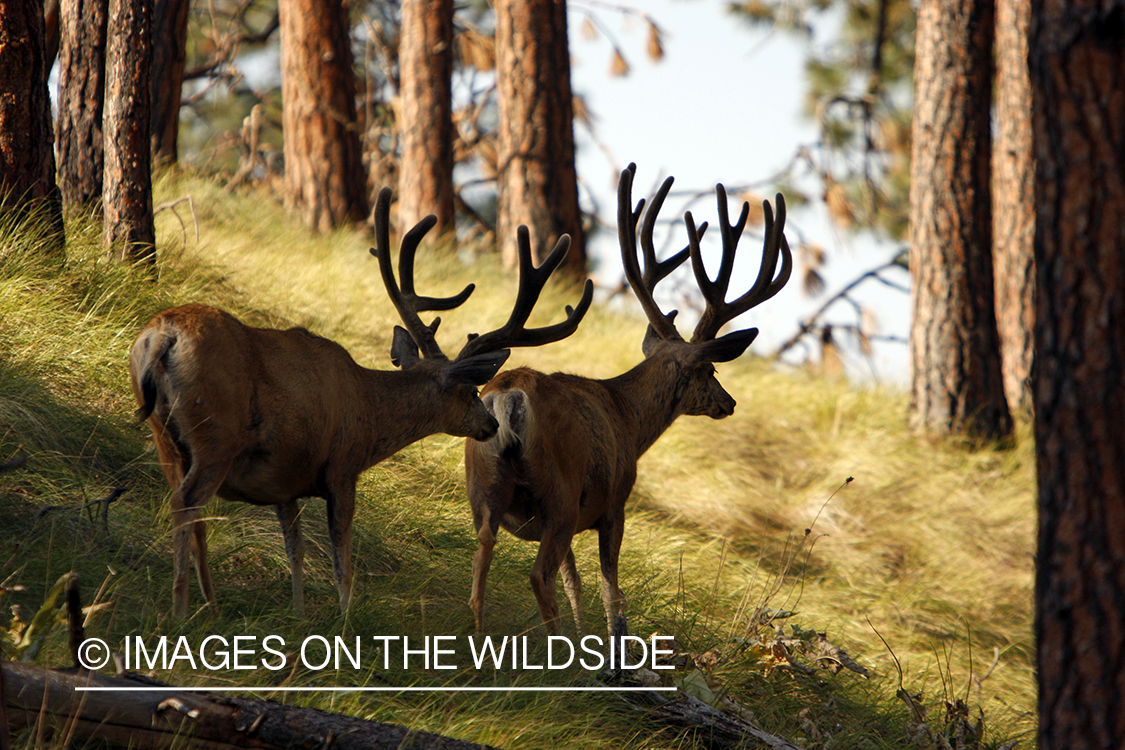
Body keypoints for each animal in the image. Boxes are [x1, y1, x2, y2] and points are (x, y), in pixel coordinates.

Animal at [130, 187, 593, 618]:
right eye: (470, 390)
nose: (490, 424)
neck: (368, 410)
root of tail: (161, 335)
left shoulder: (285, 481)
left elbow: (295, 548)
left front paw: (299, 614)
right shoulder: (342, 465)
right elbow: (342, 559)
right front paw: (346, 617)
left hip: (164, 434)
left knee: (187, 507)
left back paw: (208, 606)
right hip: (216, 431)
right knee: (186, 502)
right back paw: (181, 609)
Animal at [464, 163, 792, 643]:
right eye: (711, 370)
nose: (729, 403)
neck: (628, 419)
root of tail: (509, 395)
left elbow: (576, 583)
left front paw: (585, 636)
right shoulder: (615, 502)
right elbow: (610, 592)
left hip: (483, 483)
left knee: (483, 554)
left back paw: (480, 636)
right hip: (561, 491)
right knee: (539, 575)